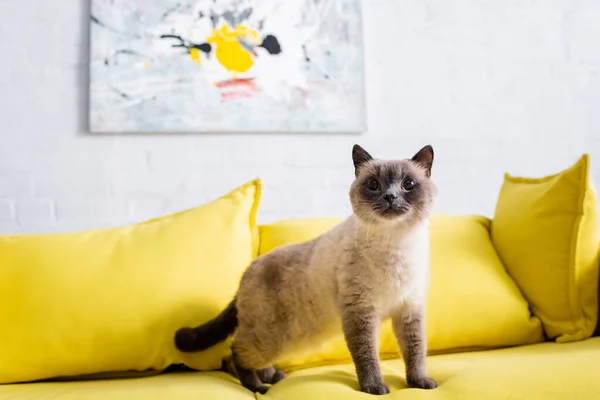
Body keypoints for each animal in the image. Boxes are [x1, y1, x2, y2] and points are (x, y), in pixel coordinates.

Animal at [176, 144, 438, 394]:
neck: (396, 242)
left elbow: (415, 353)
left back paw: (273, 377)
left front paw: (419, 383)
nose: (390, 196)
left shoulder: (409, 311)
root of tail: (248, 269)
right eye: (374, 184)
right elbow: (367, 357)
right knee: (234, 353)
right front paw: (374, 389)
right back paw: (258, 387)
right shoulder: (361, 312)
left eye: (408, 184)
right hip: (270, 338)